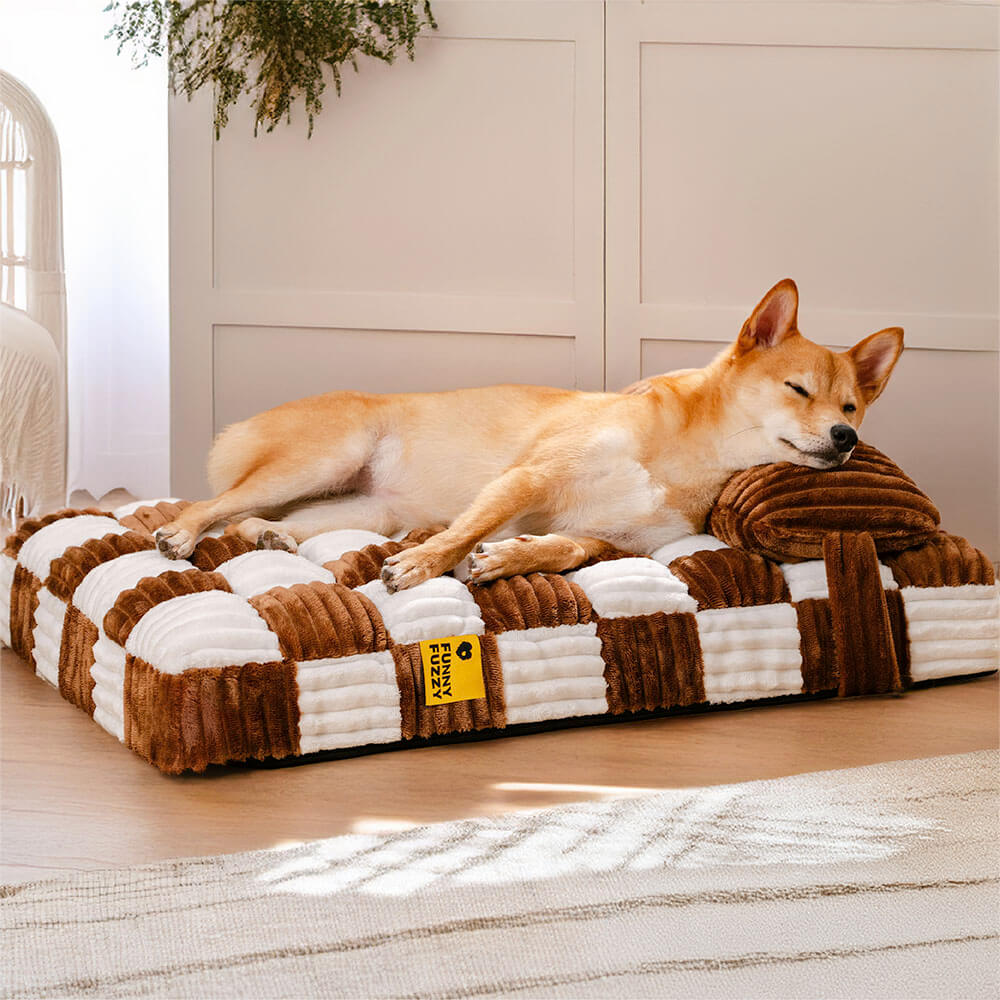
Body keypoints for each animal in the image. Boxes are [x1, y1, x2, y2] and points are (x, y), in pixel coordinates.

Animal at [158, 278, 908, 588]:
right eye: (798, 389)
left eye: (852, 407)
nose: (843, 438)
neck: (686, 455)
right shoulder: (528, 477)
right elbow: (467, 528)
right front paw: (424, 566)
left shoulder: (616, 540)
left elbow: (567, 549)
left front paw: (510, 558)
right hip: (325, 457)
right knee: (212, 506)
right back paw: (181, 534)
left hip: (365, 509)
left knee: (252, 520)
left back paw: (271, 539)